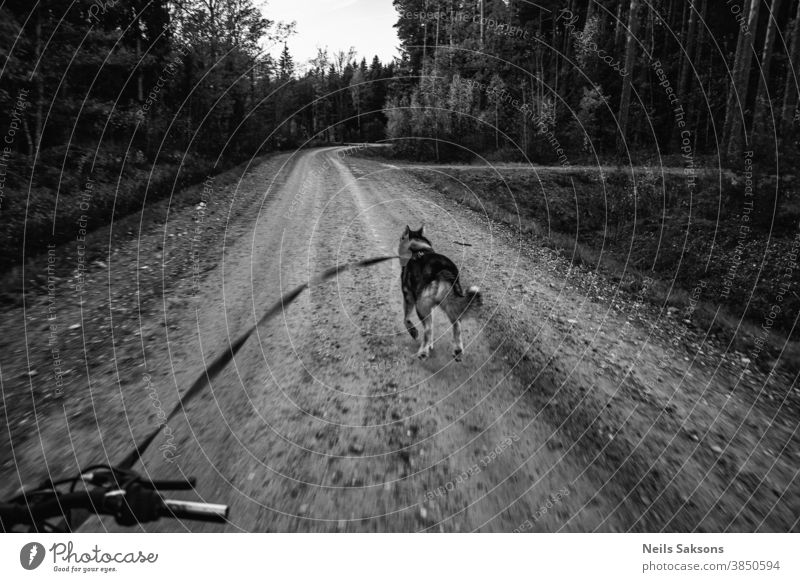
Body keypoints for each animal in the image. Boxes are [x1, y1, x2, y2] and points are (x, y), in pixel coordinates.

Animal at [398, 227, 482, 360]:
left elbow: (406, 319)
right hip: (450, 303)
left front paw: (413, 332)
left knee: (428, 329)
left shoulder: (408, 296)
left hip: (420, 305)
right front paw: (430, 344)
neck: (418, 248)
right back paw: (457, 350)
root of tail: (443, 271)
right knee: (457, 325)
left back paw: (423, 352)